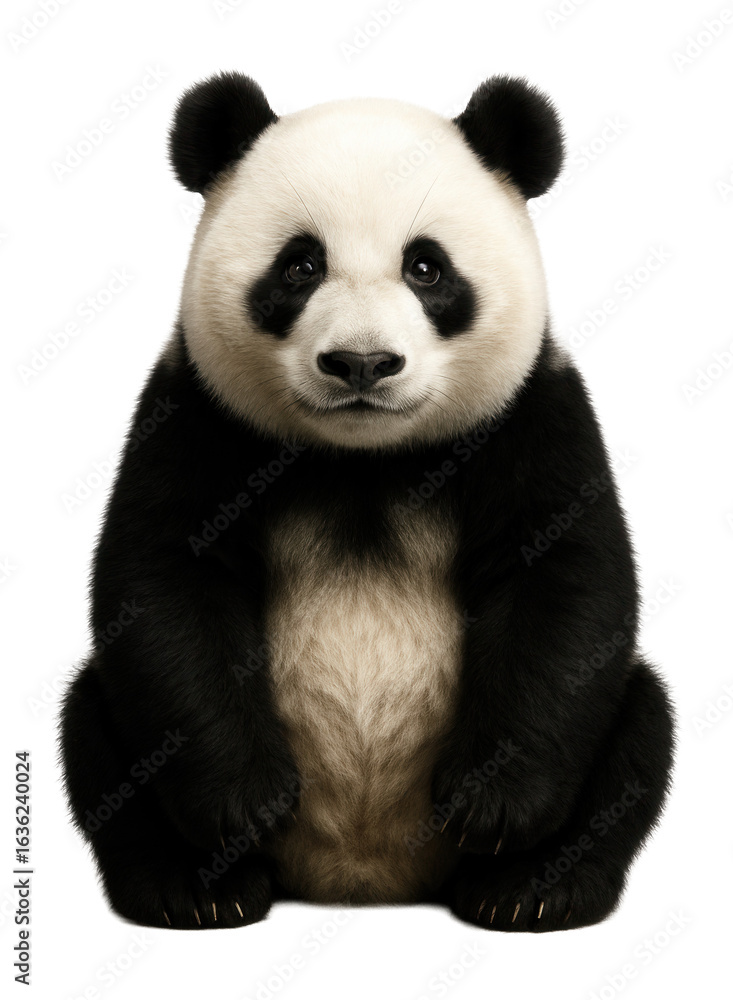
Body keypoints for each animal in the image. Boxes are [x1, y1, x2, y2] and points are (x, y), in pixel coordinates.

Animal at [59, 72, 674, 933]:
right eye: (299, 266)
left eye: (426, 268)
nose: (361, 363)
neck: (364, 462)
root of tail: (363, 876)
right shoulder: (196, 412)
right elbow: (163, 582)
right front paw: (243, 803)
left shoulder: (530, 412)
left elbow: (562, 584)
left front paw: (492, 808)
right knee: (92, 723)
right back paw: (199, 887)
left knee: (640, 724)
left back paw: (528, 888)